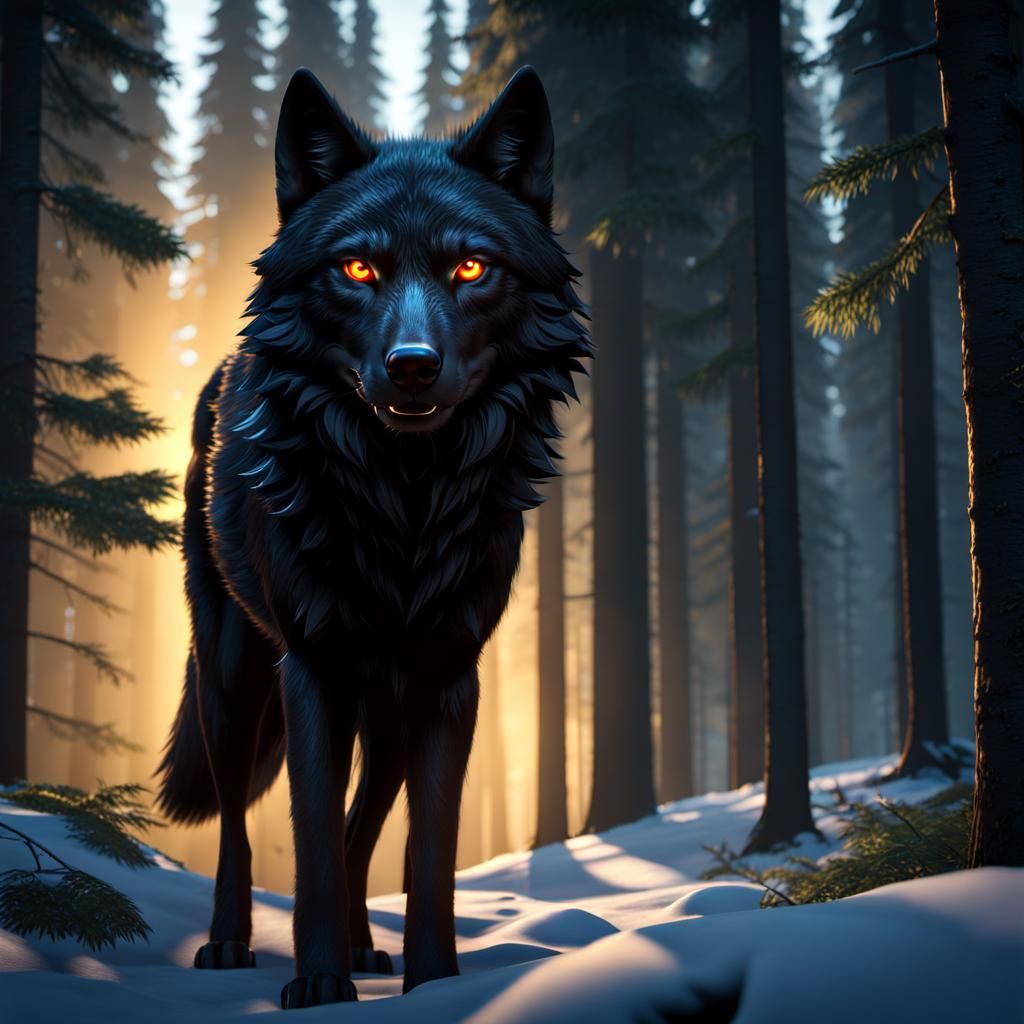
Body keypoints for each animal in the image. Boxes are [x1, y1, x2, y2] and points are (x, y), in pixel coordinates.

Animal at [155, 66, 590, 1009]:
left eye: (472, 266)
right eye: (357, 267)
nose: (413, 366)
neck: (405, 503)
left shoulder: (447, 682)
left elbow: (426, 852)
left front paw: (435, 984)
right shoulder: (312, 673)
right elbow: (311, 838)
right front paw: (317, 983)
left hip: (385, 716)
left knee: (365, 824)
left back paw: (363, 947)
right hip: (234, 682)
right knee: (240, 823)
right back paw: (230, 944)